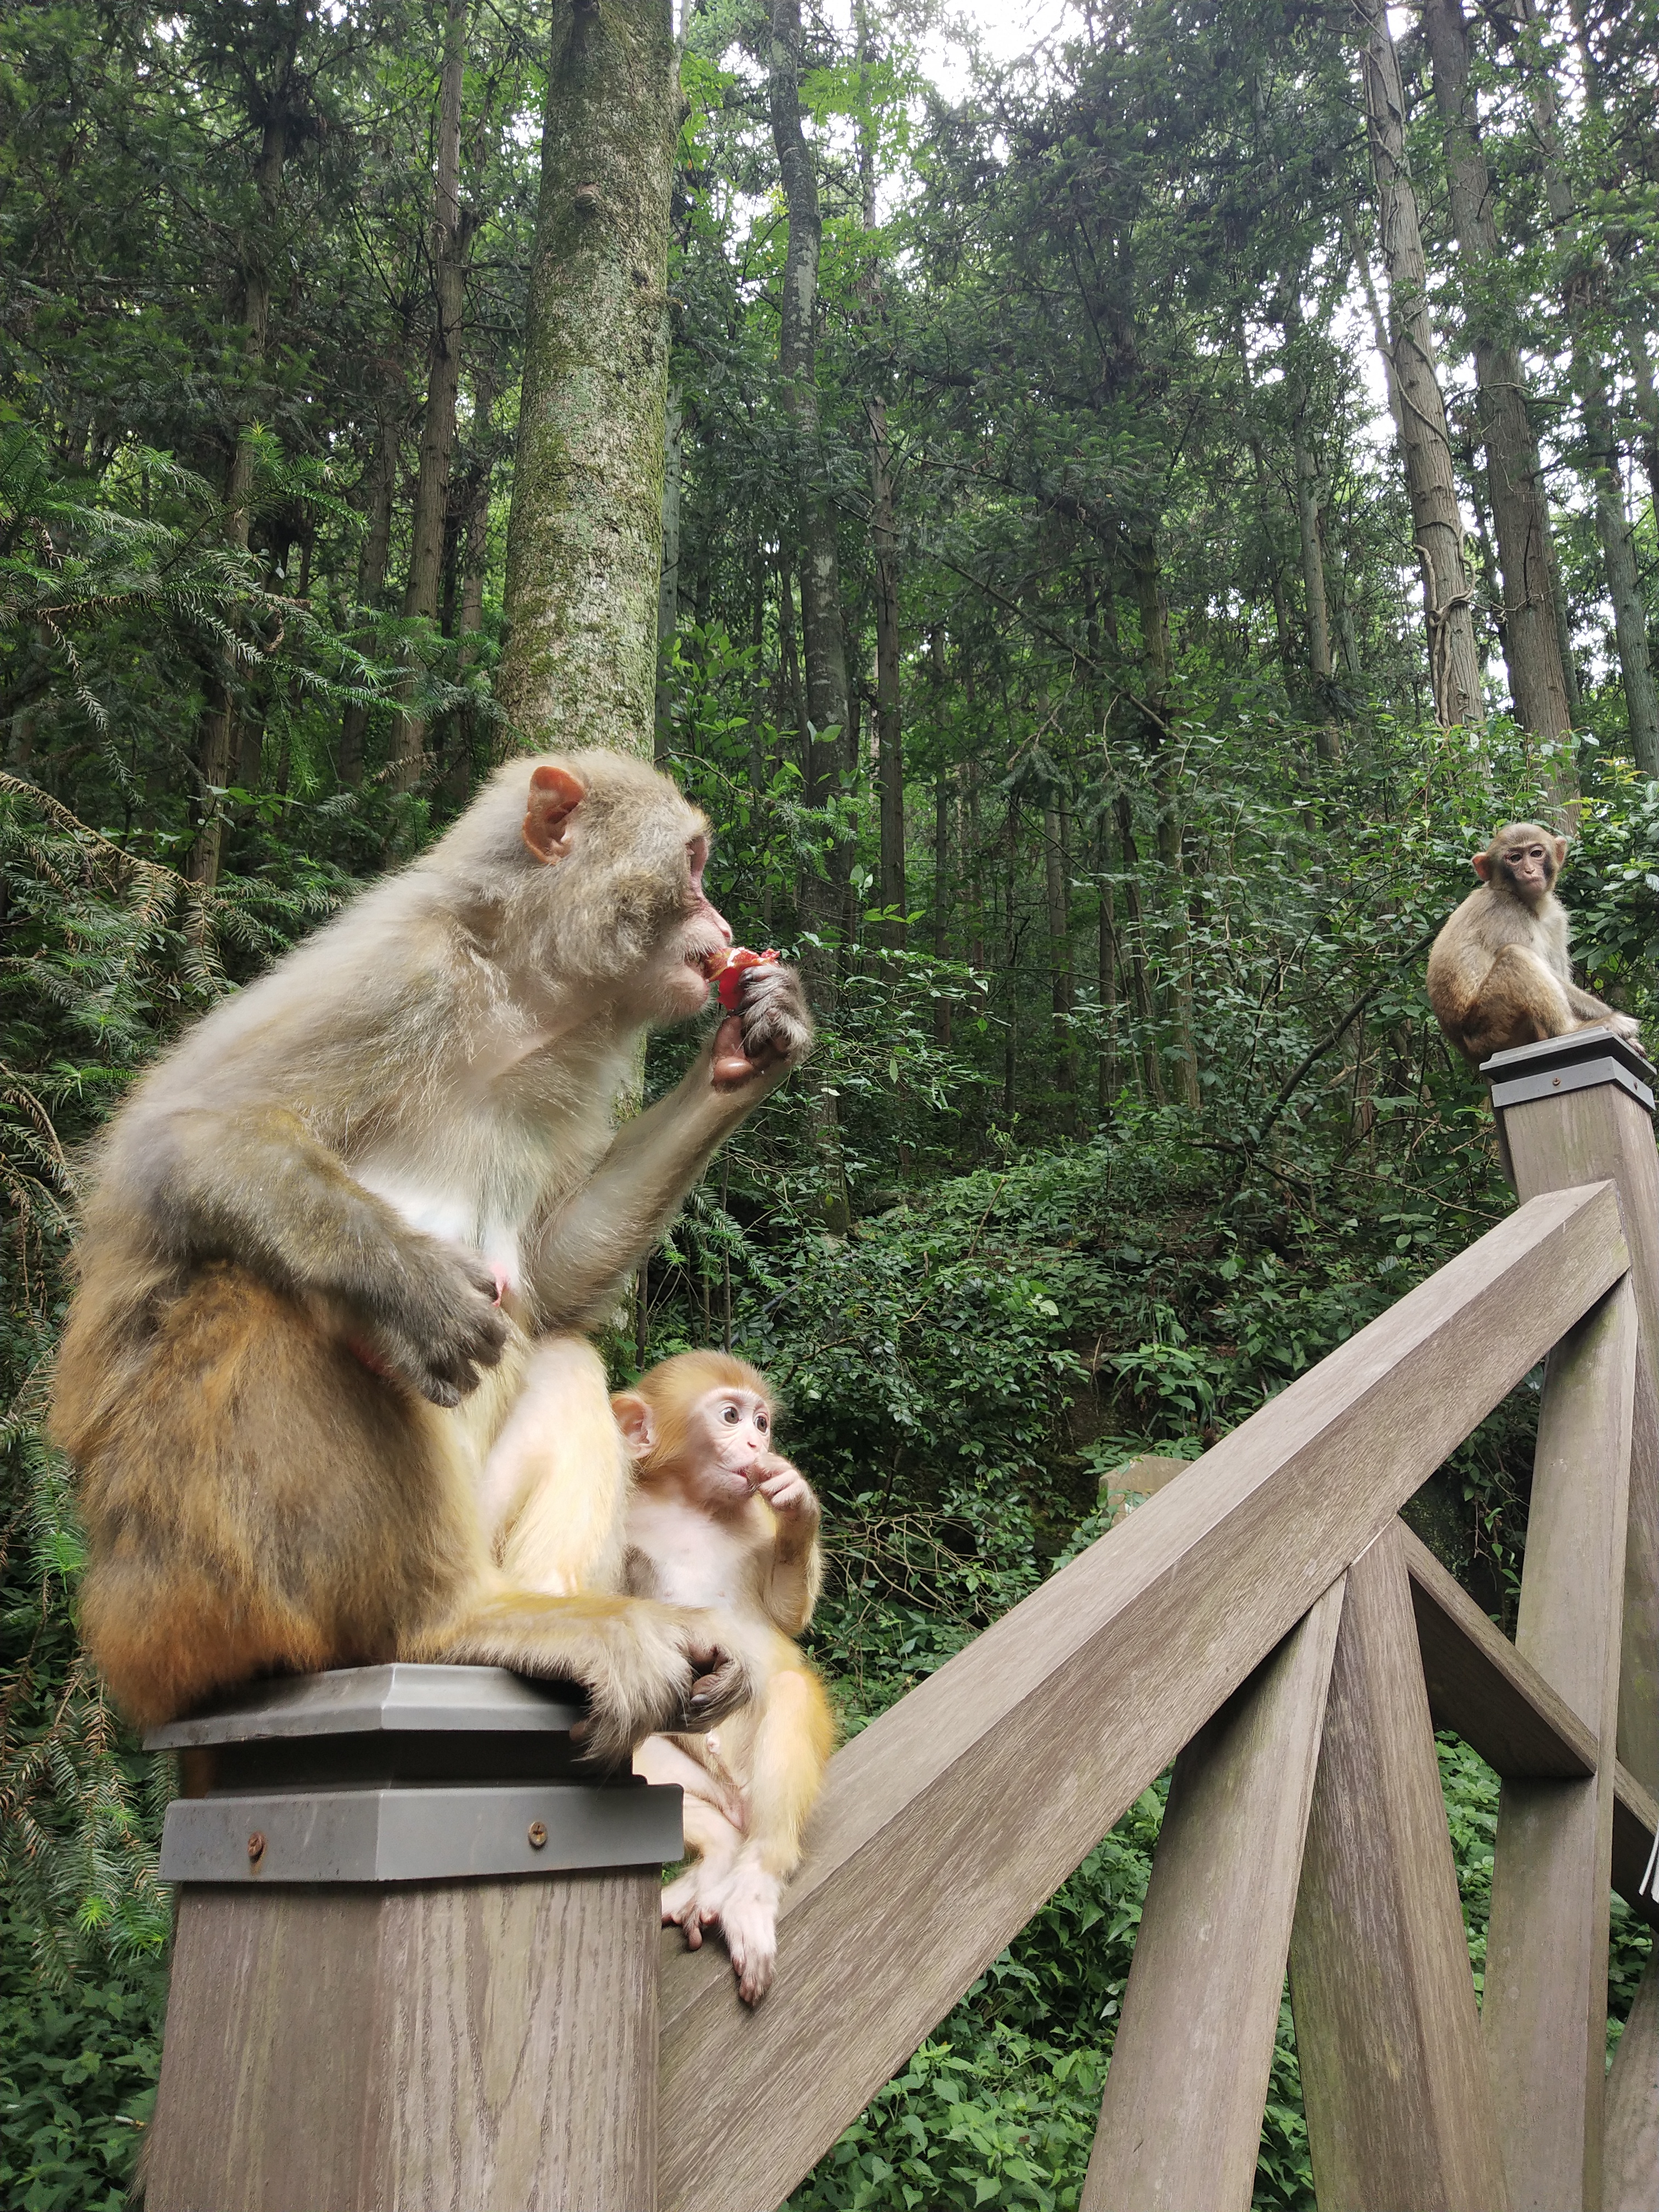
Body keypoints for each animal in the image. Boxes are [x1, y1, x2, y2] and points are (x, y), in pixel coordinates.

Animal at [57, 752, 818, 1752]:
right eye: (692, 864)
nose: (726, 930)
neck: (513, 1000)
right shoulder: (391, 978)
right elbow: (174, 1137)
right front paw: (408, 1281)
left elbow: (551, 1281)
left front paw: (756, 1042)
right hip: (199, 1590)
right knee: (263, 1299)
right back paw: (446, 1619)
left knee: (564, 1357)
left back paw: (562, 1609)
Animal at [619, 1345, 836, 2008]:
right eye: (731, 1416)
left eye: (762, 1422)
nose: (756, 1443)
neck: (692, 1504)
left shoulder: (757, 1513)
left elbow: (788, 1615)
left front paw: (800, 1501)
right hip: (703, 1783)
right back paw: (714, 1857)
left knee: (790, 1693)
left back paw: (752, 1884)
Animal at [1424, 832, 1645, 1070]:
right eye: (1514, 858)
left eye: (1536, 853)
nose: (1530, 870)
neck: (1528, 904)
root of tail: (1472, 1055)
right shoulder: (1506, 913)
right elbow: (1554, 977)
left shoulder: (1556, 918)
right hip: (1491, 1027)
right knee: (1516, 956)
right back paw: (1570, 1030)